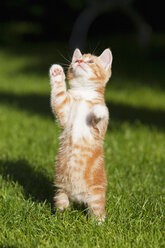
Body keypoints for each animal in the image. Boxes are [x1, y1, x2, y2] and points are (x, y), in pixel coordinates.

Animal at [49, 48, 112, 221]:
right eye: (75, 60)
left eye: (90, 61)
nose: (78, 62)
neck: (84, 94)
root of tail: (78, 197)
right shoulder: (64, 112)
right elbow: (58, 98)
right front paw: (57, 73)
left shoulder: (100, 129)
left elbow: (102, 114)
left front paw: (98, 111)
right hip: (61, 191)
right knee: (62, 205)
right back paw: (60, 218)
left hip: (96, 195)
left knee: (97, 211)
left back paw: (99, 223)